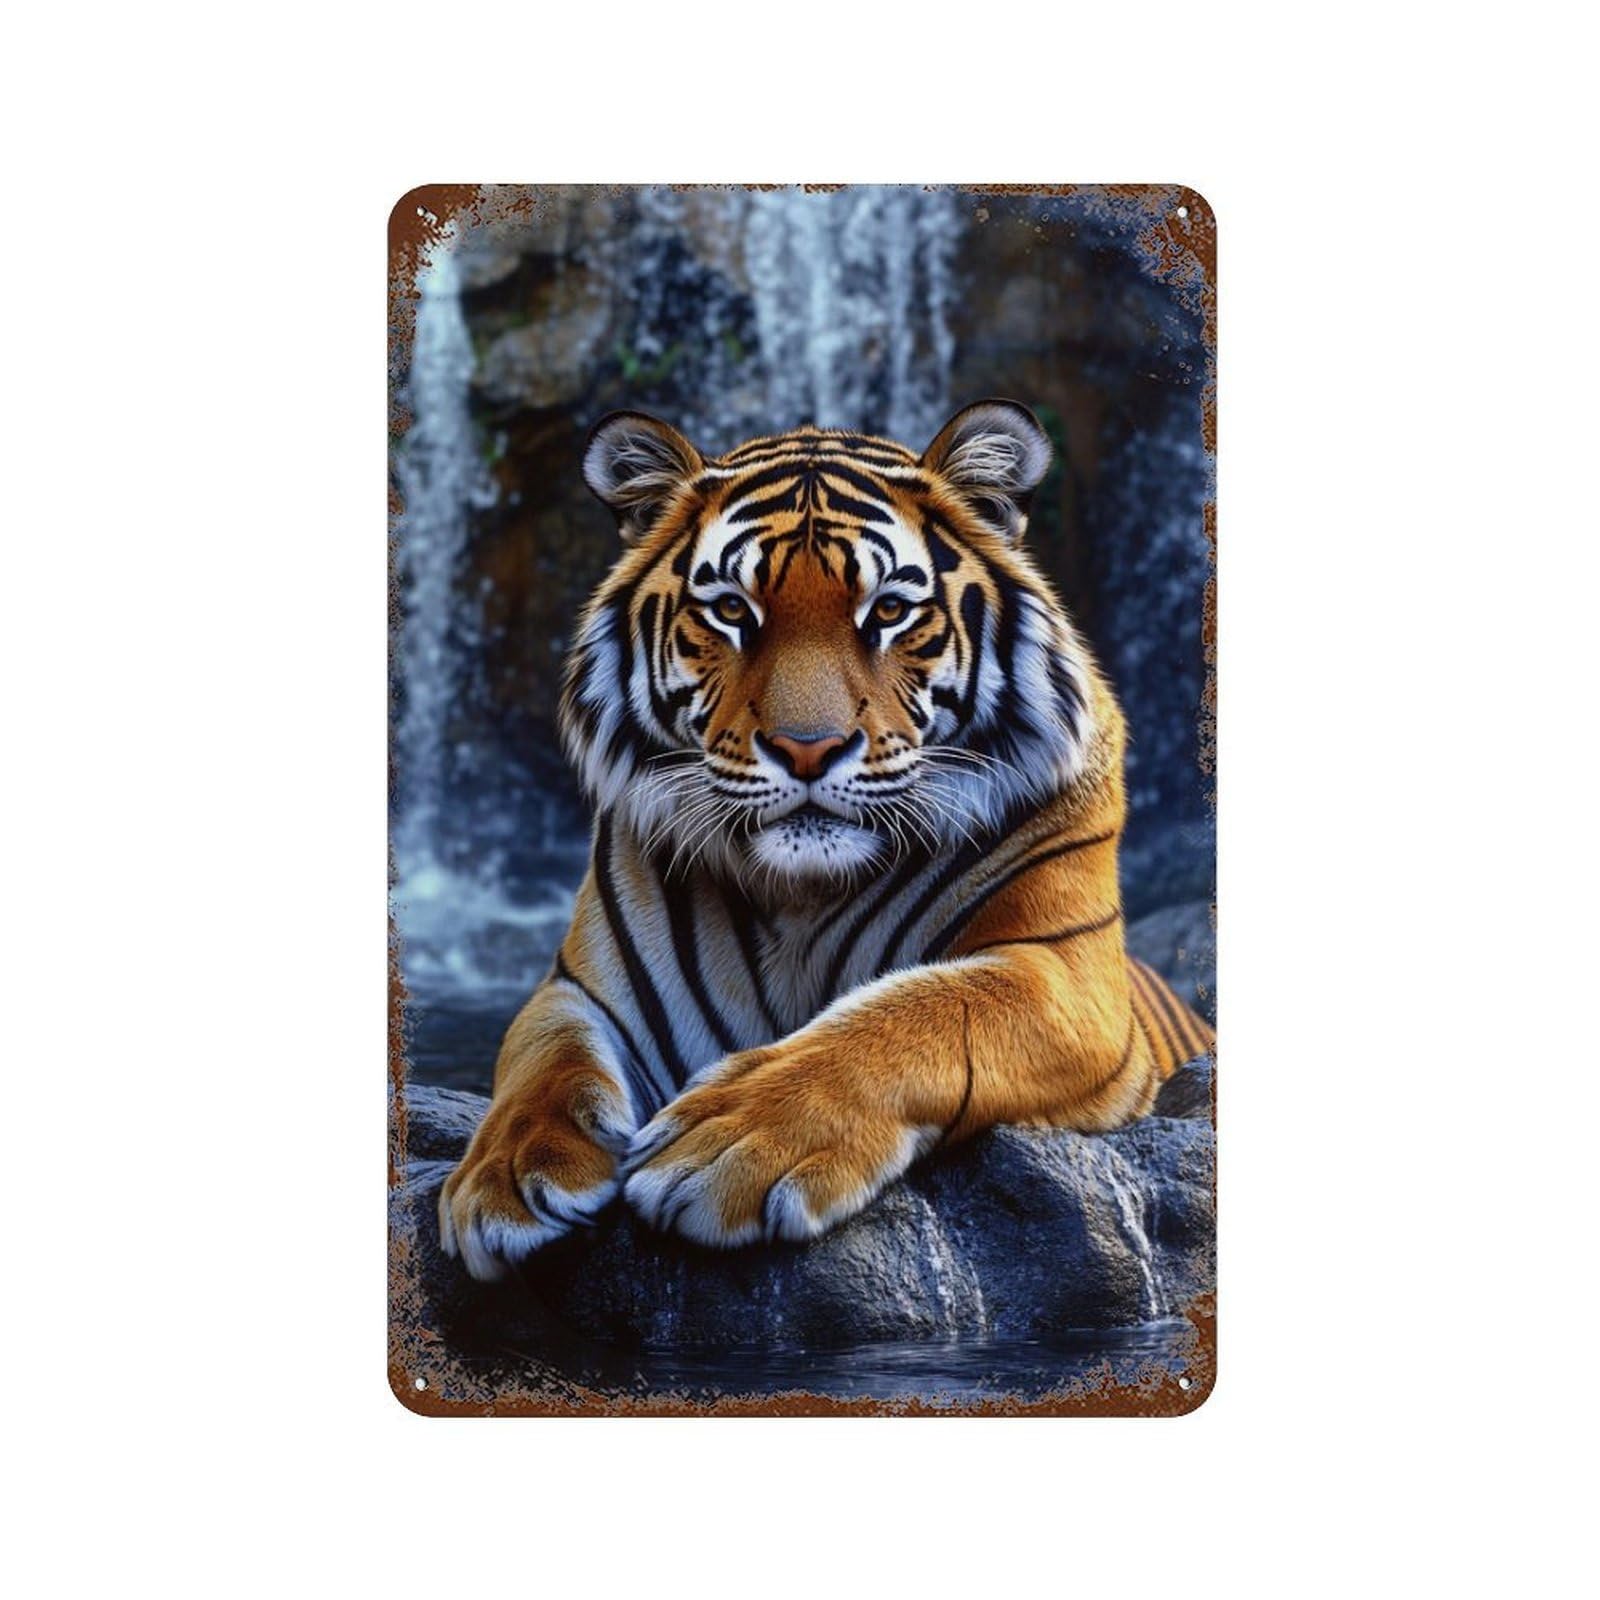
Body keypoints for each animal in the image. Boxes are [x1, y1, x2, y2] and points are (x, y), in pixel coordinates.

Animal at [437, 399, 1213, 1280]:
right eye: (732, 611)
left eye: (889, 612)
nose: (808, 749)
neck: (800, 896)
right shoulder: (580, 988)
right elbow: (541, 1057)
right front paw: (505, 1176)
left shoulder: (1065, 977)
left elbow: (918, 1011)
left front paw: (729, 1145)